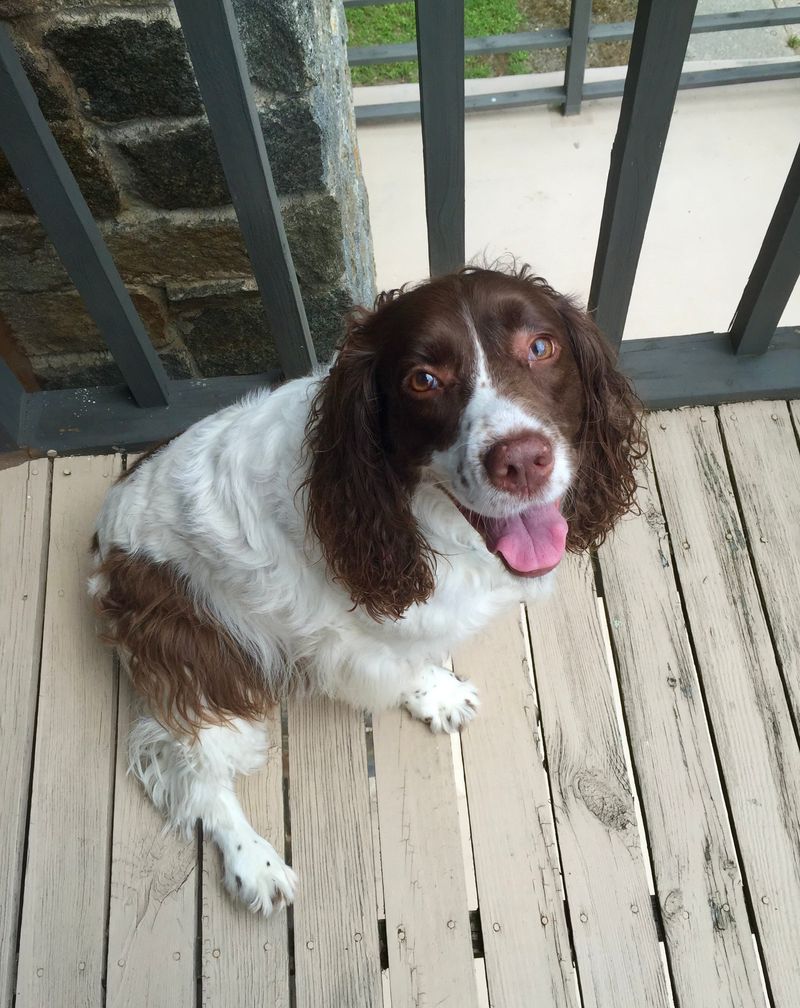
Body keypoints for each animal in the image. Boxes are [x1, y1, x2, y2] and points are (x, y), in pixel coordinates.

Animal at [90, 266, 640, 915]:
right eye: (423, 380)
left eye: (541, 347)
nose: (523, 460)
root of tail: (103, 546)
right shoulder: (355, 633)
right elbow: (401, 664)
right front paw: (434, 692)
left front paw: (438, 691)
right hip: (194, 647)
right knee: (192, 766)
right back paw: (256, 864)